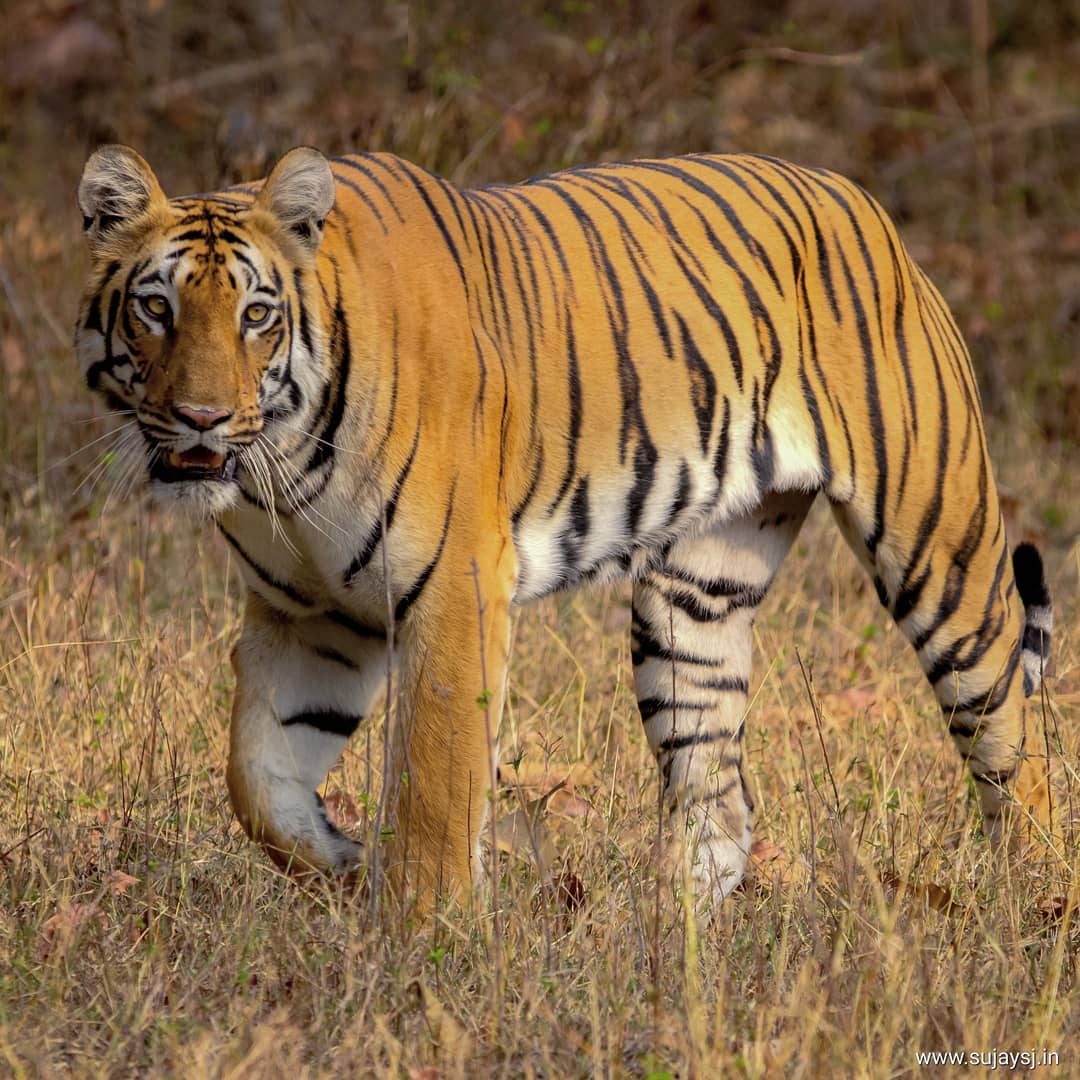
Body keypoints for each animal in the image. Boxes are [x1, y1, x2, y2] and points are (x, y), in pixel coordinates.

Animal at [75, 143, 1055, 911]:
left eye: (256, 315)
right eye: (157, 307)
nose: (201, 419)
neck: (281, 465)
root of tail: (860, 200)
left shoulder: (454, 591)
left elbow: (434, 786)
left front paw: (421, 941)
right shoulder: (310, 615)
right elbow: (257, 777)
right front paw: (343, 863)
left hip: (943, 553)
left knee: (1014, 742)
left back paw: (1036, 905)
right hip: (694, 602)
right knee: (719, 796)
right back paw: (663, 940)